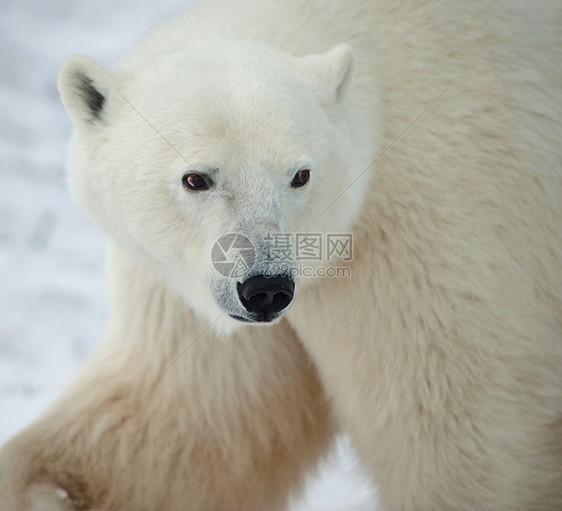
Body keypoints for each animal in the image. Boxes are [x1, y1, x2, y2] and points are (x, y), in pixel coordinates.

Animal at [1, 0, 560, 510]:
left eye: (299, 175)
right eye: (196, 178)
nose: (265, 288)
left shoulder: (433, 235)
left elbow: (463, 433)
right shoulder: (187, 289)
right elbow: (181, 425)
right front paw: (42, 491)